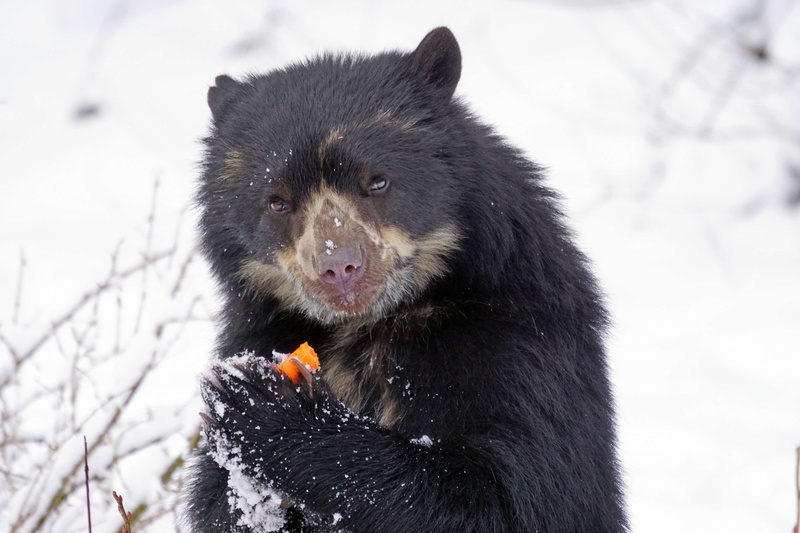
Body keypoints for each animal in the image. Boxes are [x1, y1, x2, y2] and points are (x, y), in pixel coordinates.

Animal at [185, 27, 628, 533]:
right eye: (276, 201)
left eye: (377, 182)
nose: (340, 269)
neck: (373, 323)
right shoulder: (261, 329)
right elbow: (213, 504)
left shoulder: (519, 342)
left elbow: (513, 495)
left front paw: (263, 405)